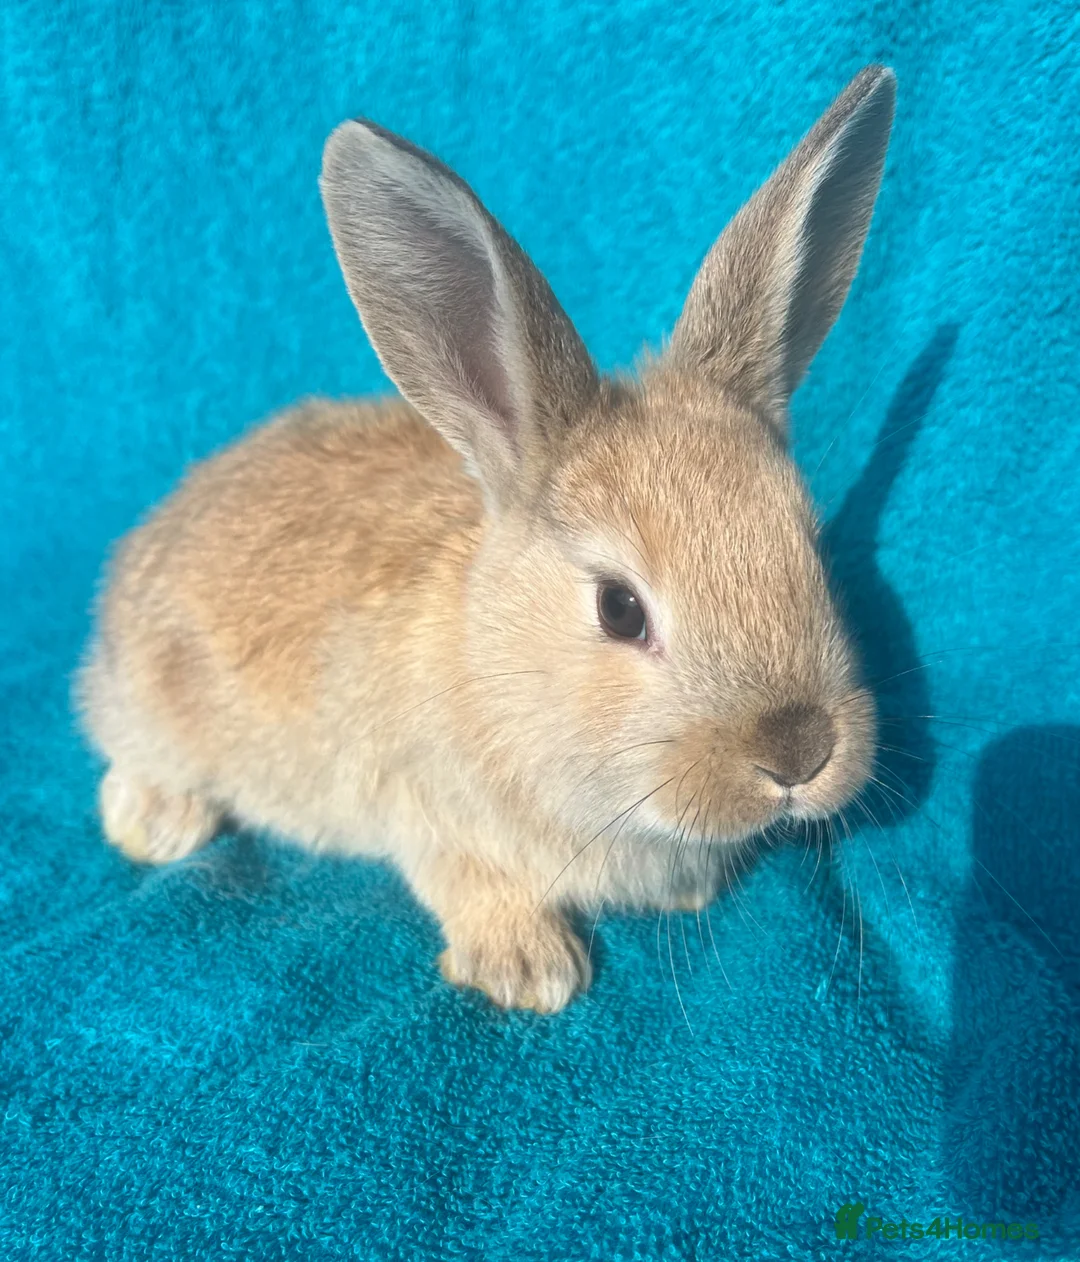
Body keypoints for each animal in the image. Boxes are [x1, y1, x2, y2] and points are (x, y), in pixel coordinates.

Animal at [77, 65, 893, 1013]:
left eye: (812, 550)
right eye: (620, 609)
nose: (799, 754)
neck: (495, 666)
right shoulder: (426, 811)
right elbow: (467, 881)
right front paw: (532, 972)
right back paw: (156, 824)